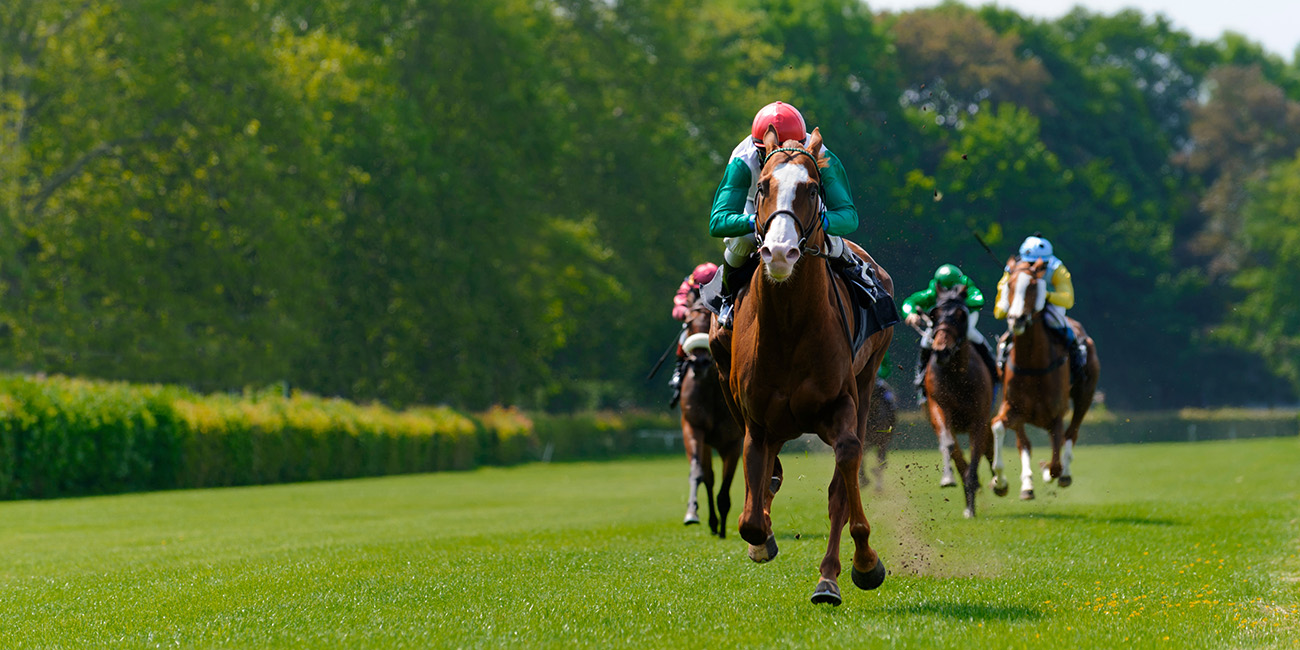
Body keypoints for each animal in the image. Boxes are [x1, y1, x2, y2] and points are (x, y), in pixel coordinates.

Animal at [678, 296, 743, 537]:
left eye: (710, 321)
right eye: (688, 323)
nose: (699, 363)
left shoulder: (733, 441)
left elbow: (726, 486)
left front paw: (724, 527)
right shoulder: (693, 428)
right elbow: (699, 473)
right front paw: (692, 513)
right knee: (709, 476)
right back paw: (713, 522)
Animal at [709, 125, 894, 606]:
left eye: (812, 188)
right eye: (762, 186)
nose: (778, 253)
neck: (790, 325)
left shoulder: (841, 404)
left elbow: (844, 473)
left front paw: (863, 564)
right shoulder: (757, 421)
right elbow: (750, 520)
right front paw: (762, 541)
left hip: (867, 381)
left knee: (841, 482)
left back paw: (830, 578)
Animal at [922, 284, 996, 518]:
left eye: (961, 316)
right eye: (933, 314)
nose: (941, 350)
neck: (957, 376)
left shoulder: (979, 419)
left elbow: (978, 451)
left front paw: (971, 503)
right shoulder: (939, 406)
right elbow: (949, 444)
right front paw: (948, 478)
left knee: (989, 448)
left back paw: (998, 482)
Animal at [990, 258, 1101, 500]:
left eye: (1033, 286)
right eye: (1009, 285)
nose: (1017, 319)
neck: (1032, 365)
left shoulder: (1056, 414)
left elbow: (1056, 462)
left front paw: (1050, 471)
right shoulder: (1013, 407)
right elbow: (999, 427)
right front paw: (999, 482)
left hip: (1085, 395)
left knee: (1070, 434)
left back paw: (1062, 474)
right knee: (1024, 443)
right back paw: (1027, 485)